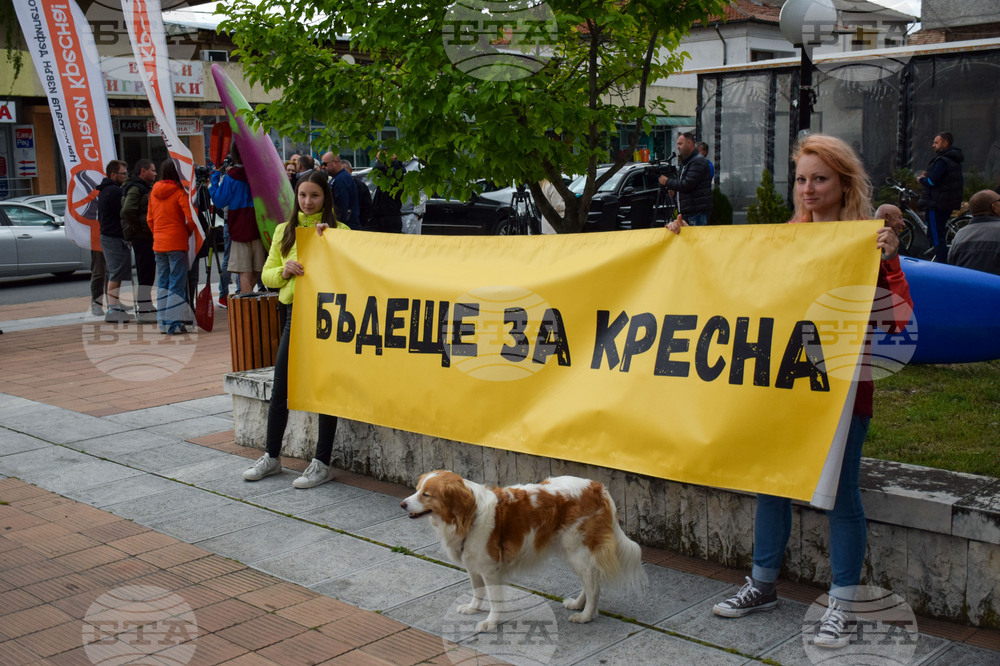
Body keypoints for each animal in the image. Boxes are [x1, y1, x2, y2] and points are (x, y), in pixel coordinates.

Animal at [400, 470, 648, 632]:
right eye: (417, 490)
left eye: (426, 494)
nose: (402, 504)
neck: (469, 515)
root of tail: (597, 487)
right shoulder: (473, 566)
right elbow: (477, 591)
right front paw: (473, 608)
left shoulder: (491, 570)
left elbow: (494, 600)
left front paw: (491, 623)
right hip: (574, 552)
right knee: (591, 582)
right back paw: (578, 604)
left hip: (577, 551)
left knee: (594, 586)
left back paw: (586, 616)